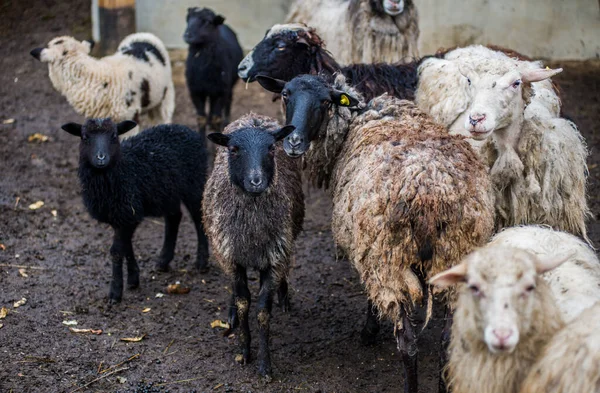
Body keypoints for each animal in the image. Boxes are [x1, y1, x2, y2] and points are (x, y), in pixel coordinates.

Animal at [61, 118, 210, 302]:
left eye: (114, 135)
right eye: (84, 137)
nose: (101, 158)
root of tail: (186, 129)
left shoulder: (127, 212)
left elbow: (117, 251)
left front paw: (115, 292)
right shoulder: (122, 217)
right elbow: (126, 246)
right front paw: (133, 279)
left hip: (194, 182)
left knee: (198, 217)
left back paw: (201, 261)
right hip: (167, 192)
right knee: (174, 217)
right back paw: (163, 260)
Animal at [185, 6, 246, 137]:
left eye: (208, 22)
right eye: (188, 19)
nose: (187, 35)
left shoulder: (221, 91)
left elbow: (216, 118)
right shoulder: (195, 91)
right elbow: (201, 119)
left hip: (227, 86)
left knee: (228, 101)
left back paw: (226, 121)